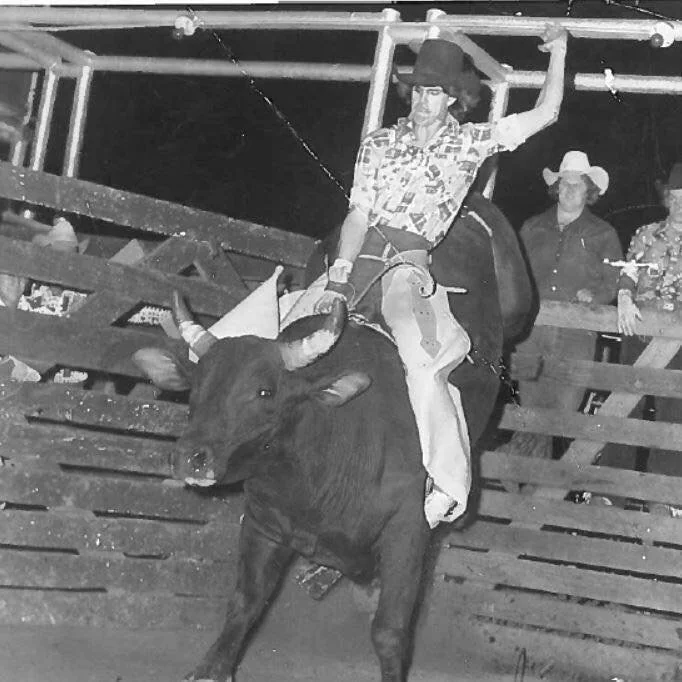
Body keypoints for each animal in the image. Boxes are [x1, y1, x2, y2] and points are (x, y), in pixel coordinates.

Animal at [130, 193, 528, 680]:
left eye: (264, 391)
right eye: (196, 386)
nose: (190, 457)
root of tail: (478, 202)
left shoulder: (407, 532)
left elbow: (390, 632)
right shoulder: (263, 521)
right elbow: (246, 601)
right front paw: (211, 667)